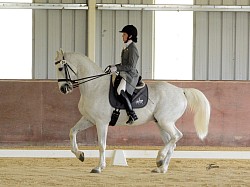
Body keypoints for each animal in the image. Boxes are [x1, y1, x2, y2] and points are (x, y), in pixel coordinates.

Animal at [55, 49, 211, 173]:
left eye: (61, 68)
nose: (63, 89)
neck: (94, 86)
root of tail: (181, 91)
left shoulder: (101, 123)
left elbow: (101, 145)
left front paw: (99, 167)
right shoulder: (89, 119)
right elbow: (72, 132)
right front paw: (80, 155)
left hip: (165, 121)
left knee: (177, 136)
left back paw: (160, 158)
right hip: (161, 123)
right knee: (172, 141)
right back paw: (161, 167)